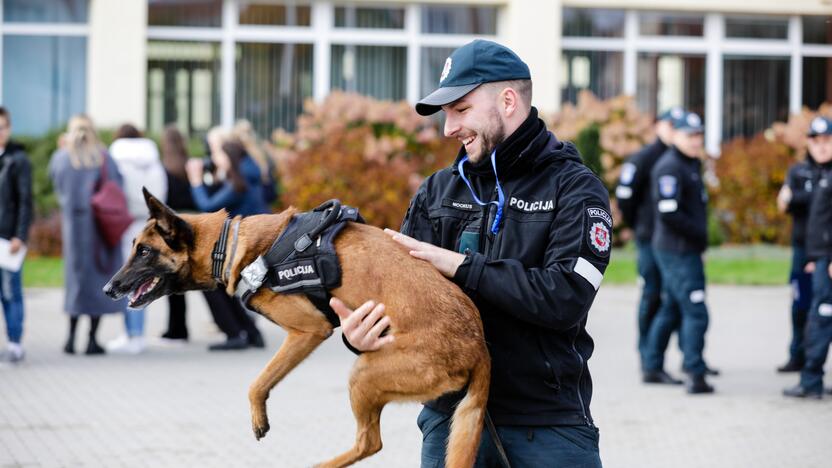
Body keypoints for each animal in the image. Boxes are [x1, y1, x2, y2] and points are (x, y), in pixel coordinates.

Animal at [105, 190, 494, 468]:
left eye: (144, 251)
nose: (109, 288)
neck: (230, 245)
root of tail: (479, 344)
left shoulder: (309, 330)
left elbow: (258, 382)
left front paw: (258, 415)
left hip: (364, 373)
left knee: (370, 442)